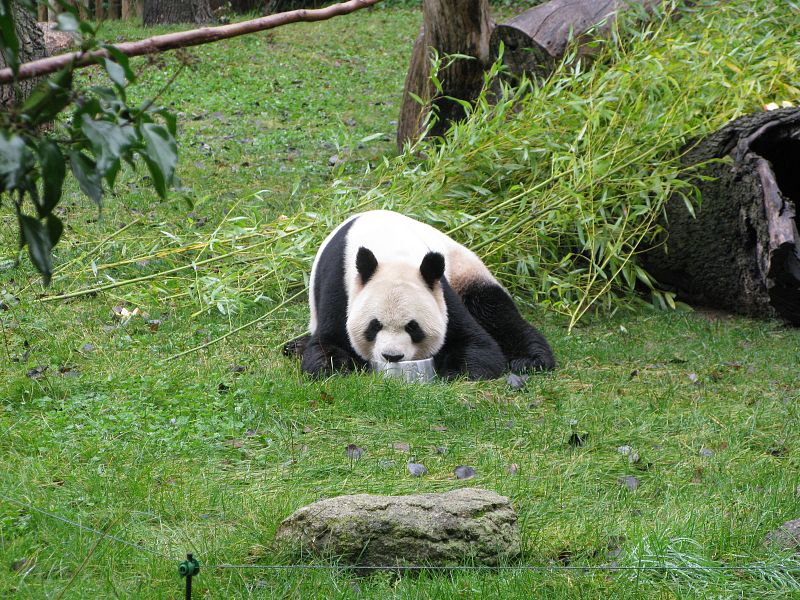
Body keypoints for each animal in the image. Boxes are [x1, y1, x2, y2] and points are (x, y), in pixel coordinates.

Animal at [288, 210, 556, 380]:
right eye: (374, 326)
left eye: (413, 327)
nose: (392, 356)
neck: (389, 248)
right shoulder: (340, 283)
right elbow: (328, 342)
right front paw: (333, 367)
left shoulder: (440, 289)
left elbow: (478, 344)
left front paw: (456, 370)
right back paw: (295, 346)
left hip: (465, 272)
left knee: (494, 311)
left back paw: (531, 360)